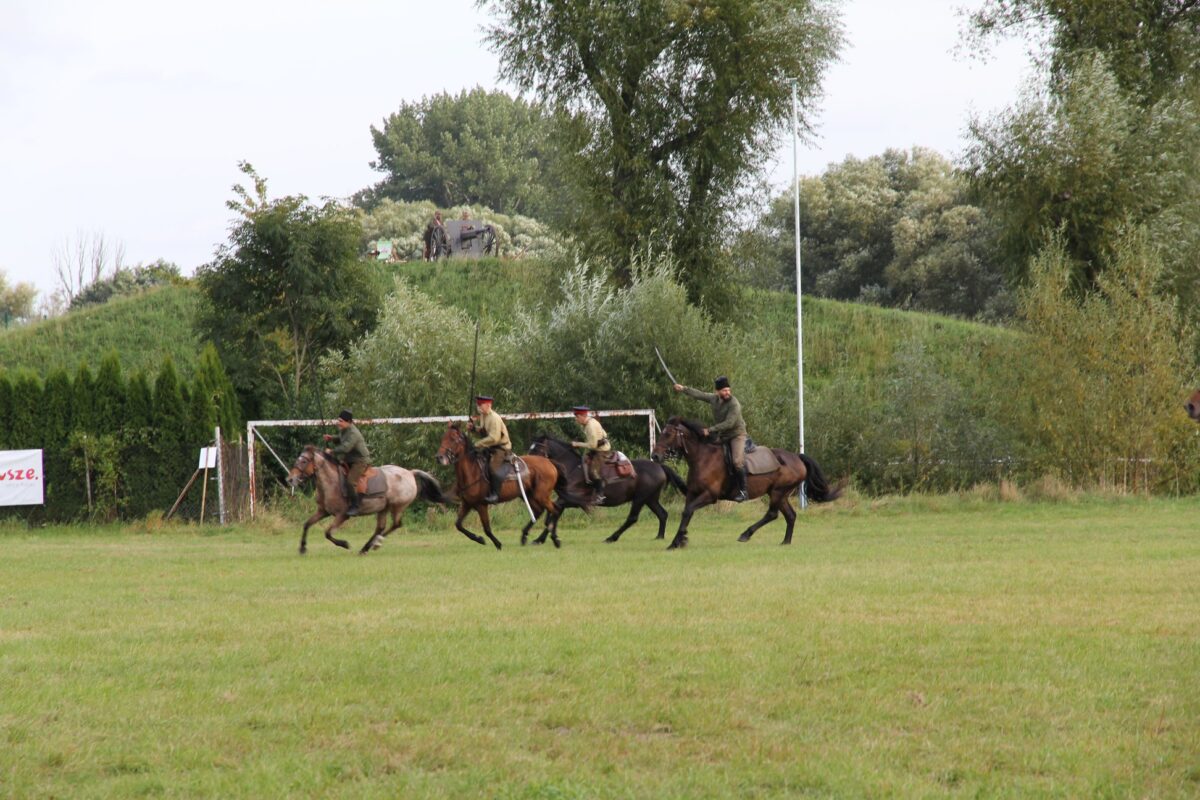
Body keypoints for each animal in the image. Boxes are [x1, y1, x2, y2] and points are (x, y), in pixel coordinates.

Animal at [288, 443, 448, 556]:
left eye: (304, 461)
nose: (290, 479)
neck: (331, 482)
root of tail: (409, 472)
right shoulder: (322, 512)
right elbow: (306, 524)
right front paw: (302, 548)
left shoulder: (342, 515)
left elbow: (327, 533)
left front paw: (344, 544)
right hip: (383, 509)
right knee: (381, 527)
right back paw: (366, 547)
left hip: (397, 507)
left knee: (396, 524)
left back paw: (375, 544)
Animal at [436, 424, 566, 551]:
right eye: (443, 438)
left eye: (453, 439)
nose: (439, 457)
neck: (473, 471)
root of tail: (550, 463)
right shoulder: (467, 504)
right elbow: (458, 525)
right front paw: (479, 539)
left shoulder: (481, 505)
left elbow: (487, 529)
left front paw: (497, 544)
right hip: (530, 495)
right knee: (540, 511)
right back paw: (525, 536)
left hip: (541, 495)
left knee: (555, 510)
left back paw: (555, 539)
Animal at [523, 438, 686, 544]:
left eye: (536, 449)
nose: (526, 463)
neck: (572, 468)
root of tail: (660, 467)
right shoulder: (566, 499)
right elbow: (553, 512)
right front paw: (540, 538)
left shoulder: (571, 500)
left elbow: (554, 512)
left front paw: (539, 538)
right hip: (650, 499)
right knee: (662, 514)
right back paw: (659, 536)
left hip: (640, 499)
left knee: (632, 518)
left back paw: (611, 538)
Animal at [652, 419, 840, 551]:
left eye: (668, 434)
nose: (655, 456)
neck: (703, 457)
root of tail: (797, 457)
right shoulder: (692, 493)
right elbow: (687, 513)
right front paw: (678, 540)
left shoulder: (709, 496)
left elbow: (688, 511)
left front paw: (678, 540)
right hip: (780, 494)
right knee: (790, 515)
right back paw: (785, 542)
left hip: (778, 492)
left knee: (772, 514)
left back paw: (746, 534)